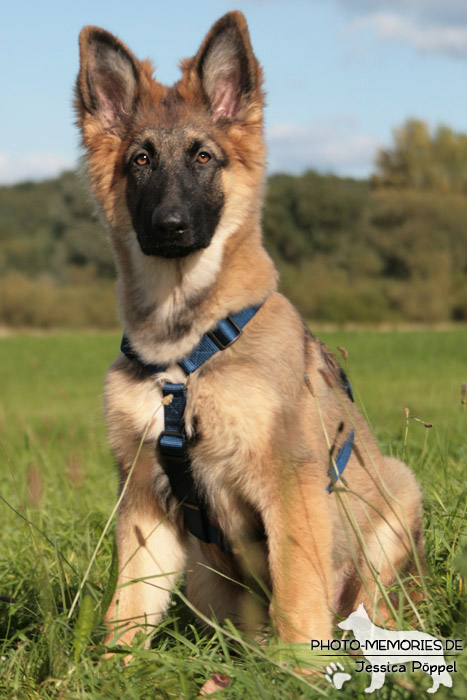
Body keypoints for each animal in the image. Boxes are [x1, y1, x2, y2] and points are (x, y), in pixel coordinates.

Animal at [75, 10, 426, 648]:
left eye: (203, 157)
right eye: (140, 160)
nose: (170, 226)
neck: (184, 352)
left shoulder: (289, 483)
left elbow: (296, 598)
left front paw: (301, 665)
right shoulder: (143, 501)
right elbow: (128, 611)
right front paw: (107, 666)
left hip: (395, 498)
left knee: (374, 606)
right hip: (206, 573)